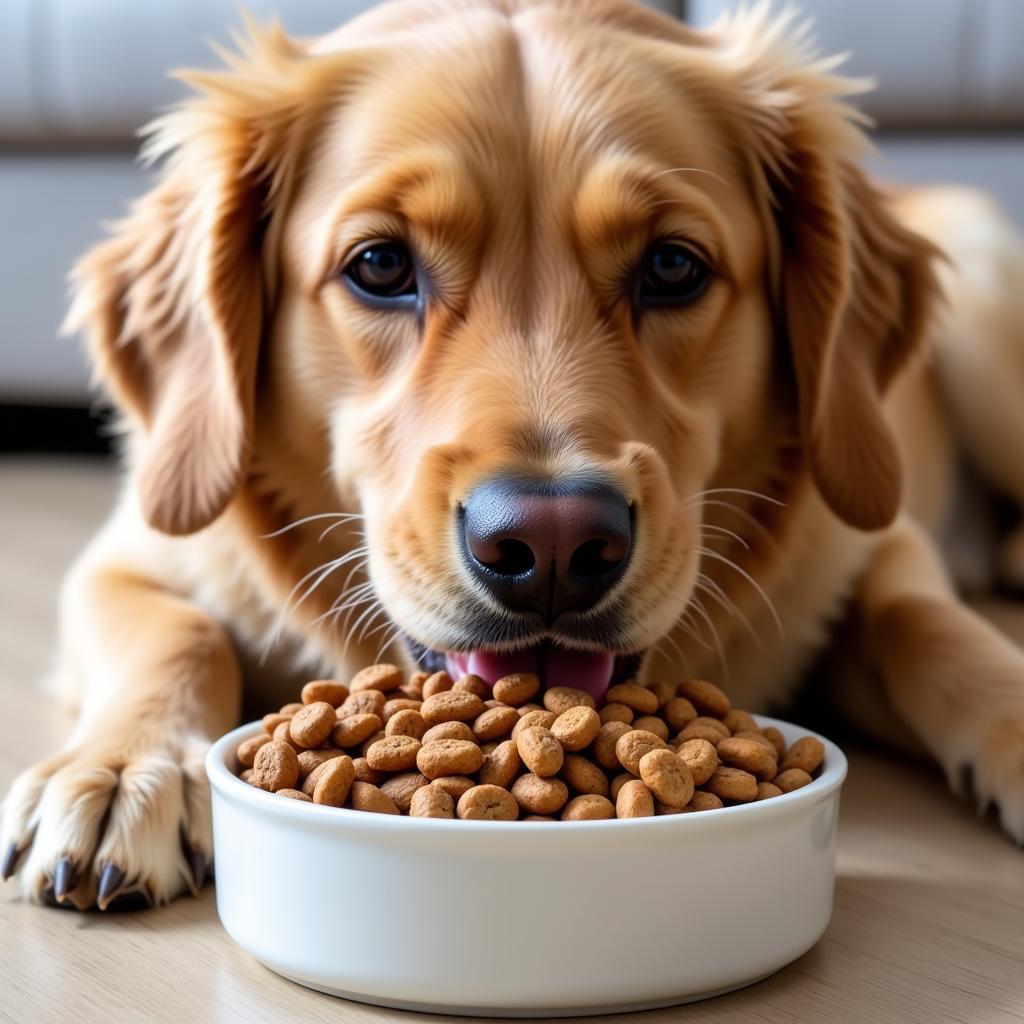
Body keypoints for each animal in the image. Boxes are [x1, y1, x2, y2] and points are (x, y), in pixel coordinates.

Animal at [2, 0, 1024, 913]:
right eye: (379, 266)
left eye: (673, 267)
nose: (555, 547)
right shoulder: (128, 554)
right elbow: (179, 633)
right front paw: (123, 770)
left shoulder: (882, 546)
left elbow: (933, 629)